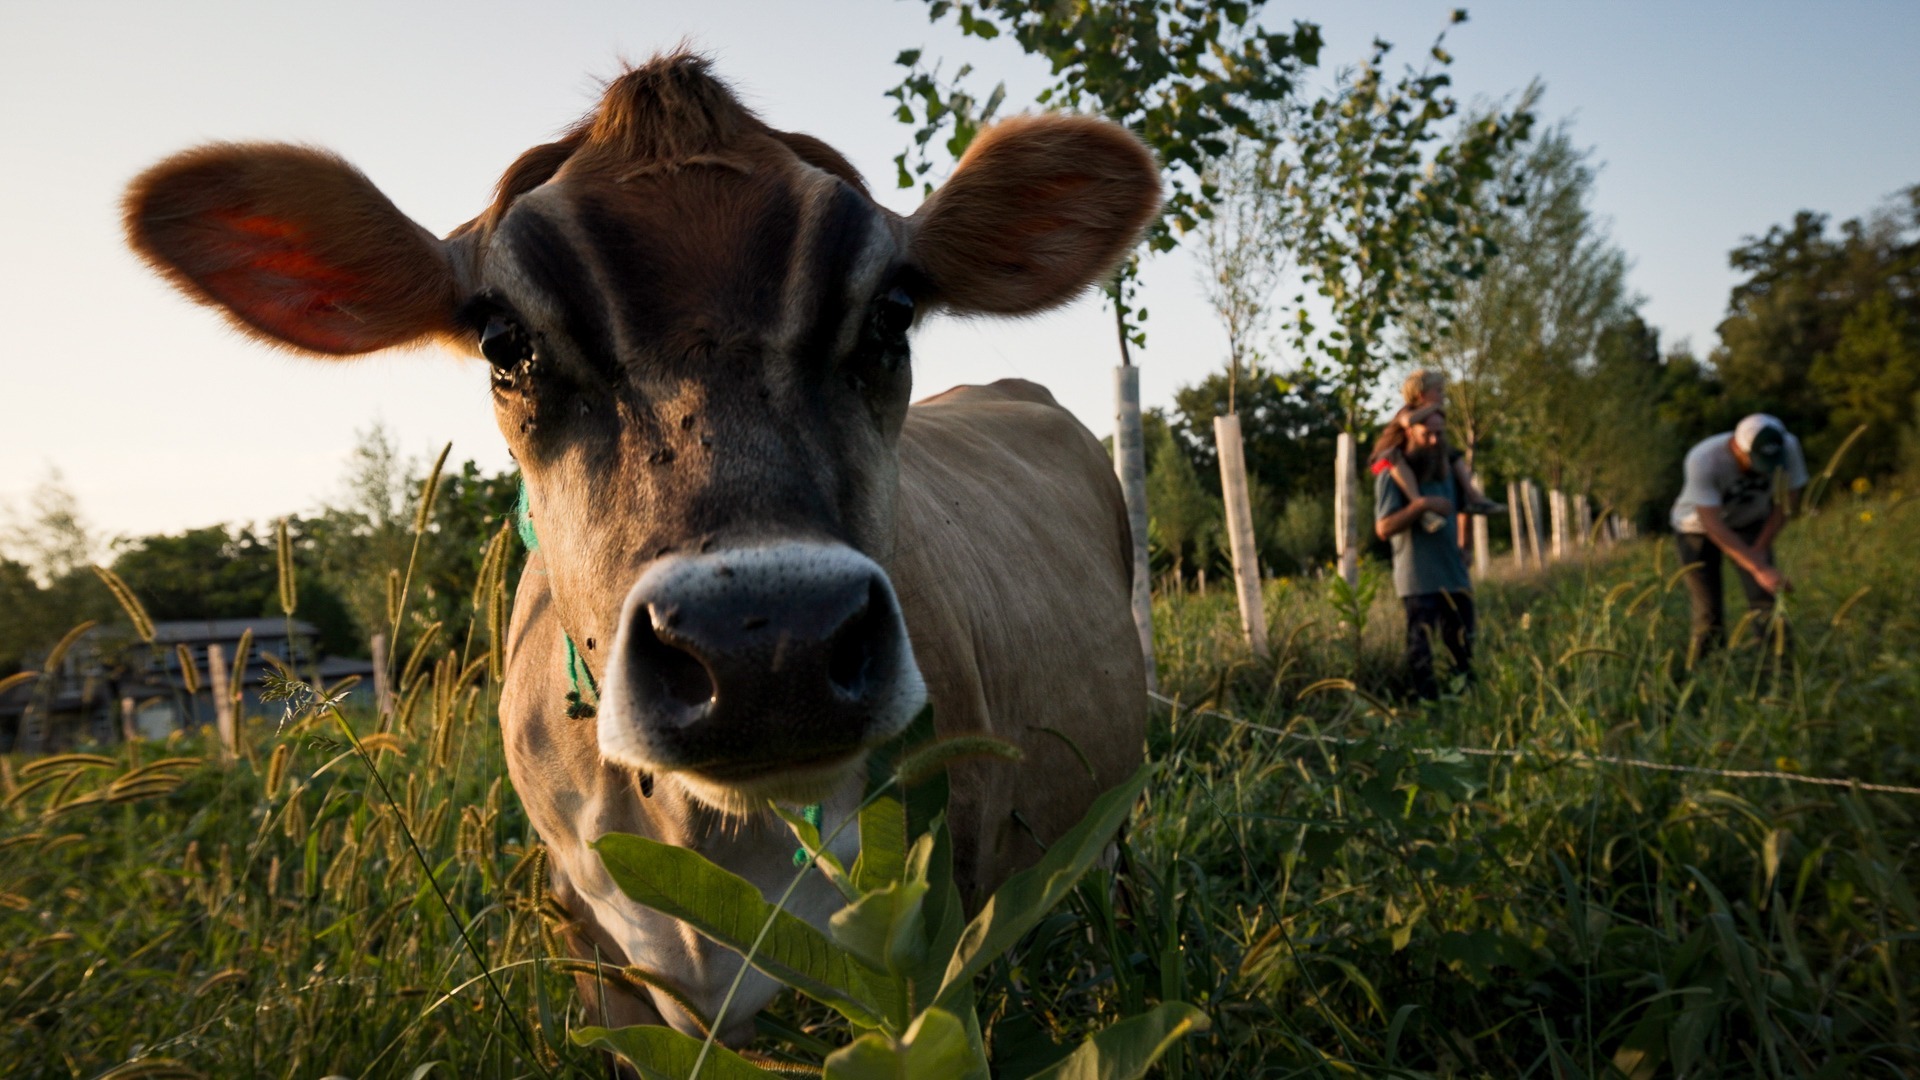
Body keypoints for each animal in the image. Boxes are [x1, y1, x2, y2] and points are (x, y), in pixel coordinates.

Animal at [123, 52, 1152, 1045]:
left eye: (893, 310)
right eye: (504, 340)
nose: (766, 643)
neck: (705, 831)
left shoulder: (938, 909)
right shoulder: (589, 938)